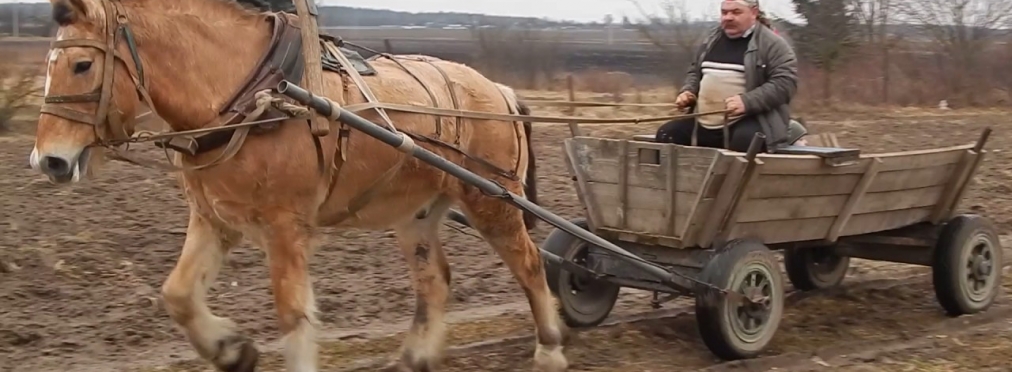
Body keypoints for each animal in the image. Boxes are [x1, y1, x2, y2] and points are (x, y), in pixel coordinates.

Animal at [27, 0, 570, 372]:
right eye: (48, 64)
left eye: (82, 64)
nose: (49, 160)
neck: (254, 92)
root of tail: (496, 90)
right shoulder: (214, 218)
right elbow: (177, 294)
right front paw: (232, 350)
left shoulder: (284, 226)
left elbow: (292, 314)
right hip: (417, 211)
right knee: (434, 279)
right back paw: (415, 357)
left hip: (492, 198)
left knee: (528, 264)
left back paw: (549, 348)